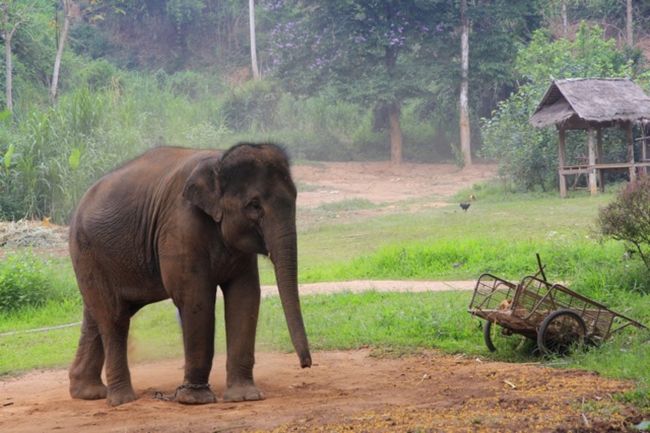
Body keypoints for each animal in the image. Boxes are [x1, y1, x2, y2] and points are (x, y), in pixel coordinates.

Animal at [67, 142, 310, 404]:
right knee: (114, 318)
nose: (306, 364)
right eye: (254, 206)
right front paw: (195, 399)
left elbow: (245, 296)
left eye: (295, 199)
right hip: (87, 251)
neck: (218, 162)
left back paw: (88, 393)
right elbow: (195, 298)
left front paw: (245, 397)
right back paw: (122, 400)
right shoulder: (181, 224)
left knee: (96, 314)